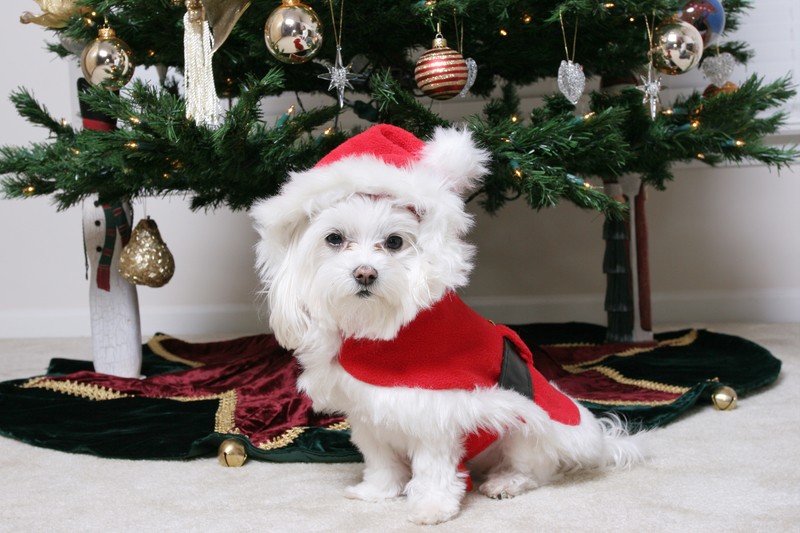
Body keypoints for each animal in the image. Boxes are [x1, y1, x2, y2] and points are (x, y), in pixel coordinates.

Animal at [253, 123, 648, 524]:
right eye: (334, 239)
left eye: (394, 242)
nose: (365, 273)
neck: (382, 335)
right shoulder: (368, 414)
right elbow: (382, 461)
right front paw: (378, 492)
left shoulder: (435, 415)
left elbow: (433, 469)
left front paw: (431, 506)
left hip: (527, 425)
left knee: (535, 469)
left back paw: (506, 482)